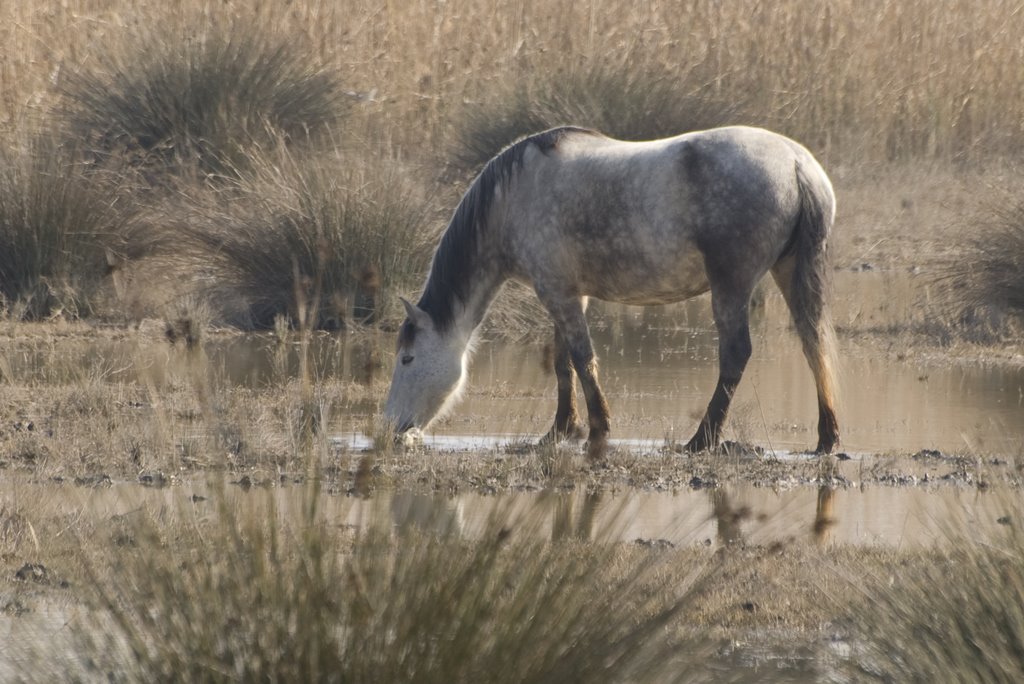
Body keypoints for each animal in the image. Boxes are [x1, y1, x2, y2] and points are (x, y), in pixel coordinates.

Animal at [385, 125, 839, 454]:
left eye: (408, 358)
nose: (390, 428)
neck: (511, 199)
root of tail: (796, 164)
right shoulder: (568, 294)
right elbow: (564, 363)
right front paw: (559, 431)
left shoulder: (557, 294)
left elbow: (582, 360)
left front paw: (597, 429)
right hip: (789, 273)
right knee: (813, 344)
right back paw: (827, 437)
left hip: (731, 285)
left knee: (736, 354)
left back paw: (701, 439)